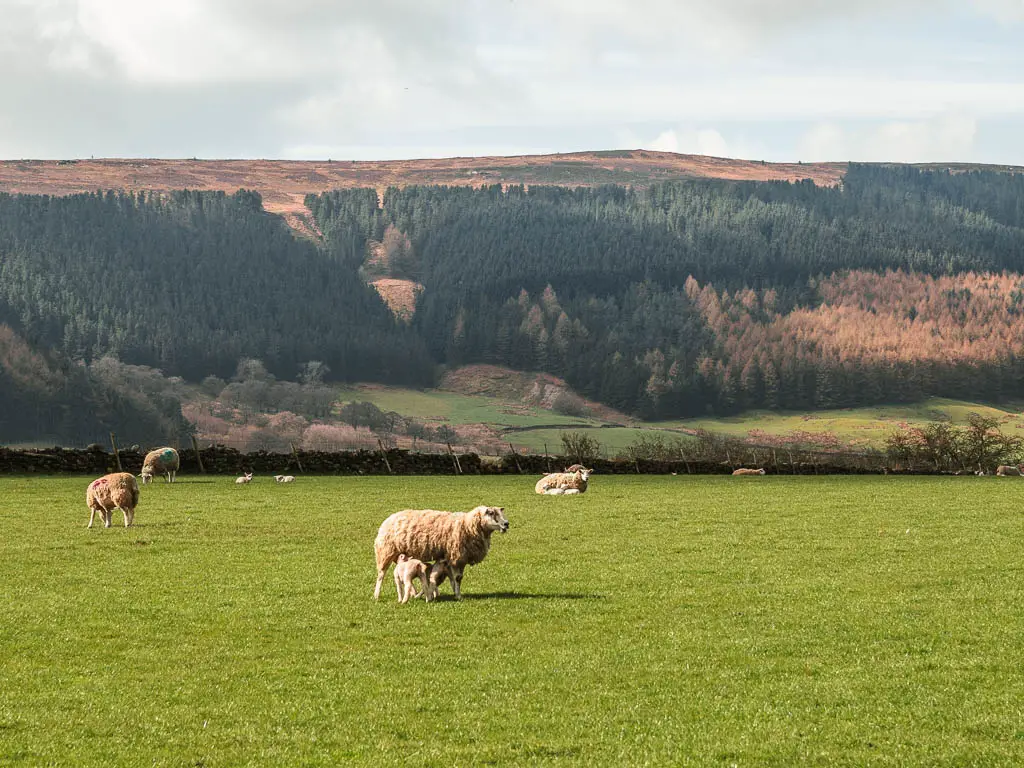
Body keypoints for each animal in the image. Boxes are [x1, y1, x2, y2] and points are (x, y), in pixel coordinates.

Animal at [372, 507, 507, 606]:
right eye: (491, 513)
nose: (507, 524)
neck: (467, 525)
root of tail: (388, 519)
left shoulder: (459, 559)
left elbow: (455, 579)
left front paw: (455, 594)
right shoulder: (456, 556)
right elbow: (457, 578)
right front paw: (458, 596)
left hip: (401, 556)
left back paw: (414, 593)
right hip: (386, 551)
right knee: (381, 575)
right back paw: (377, 595)